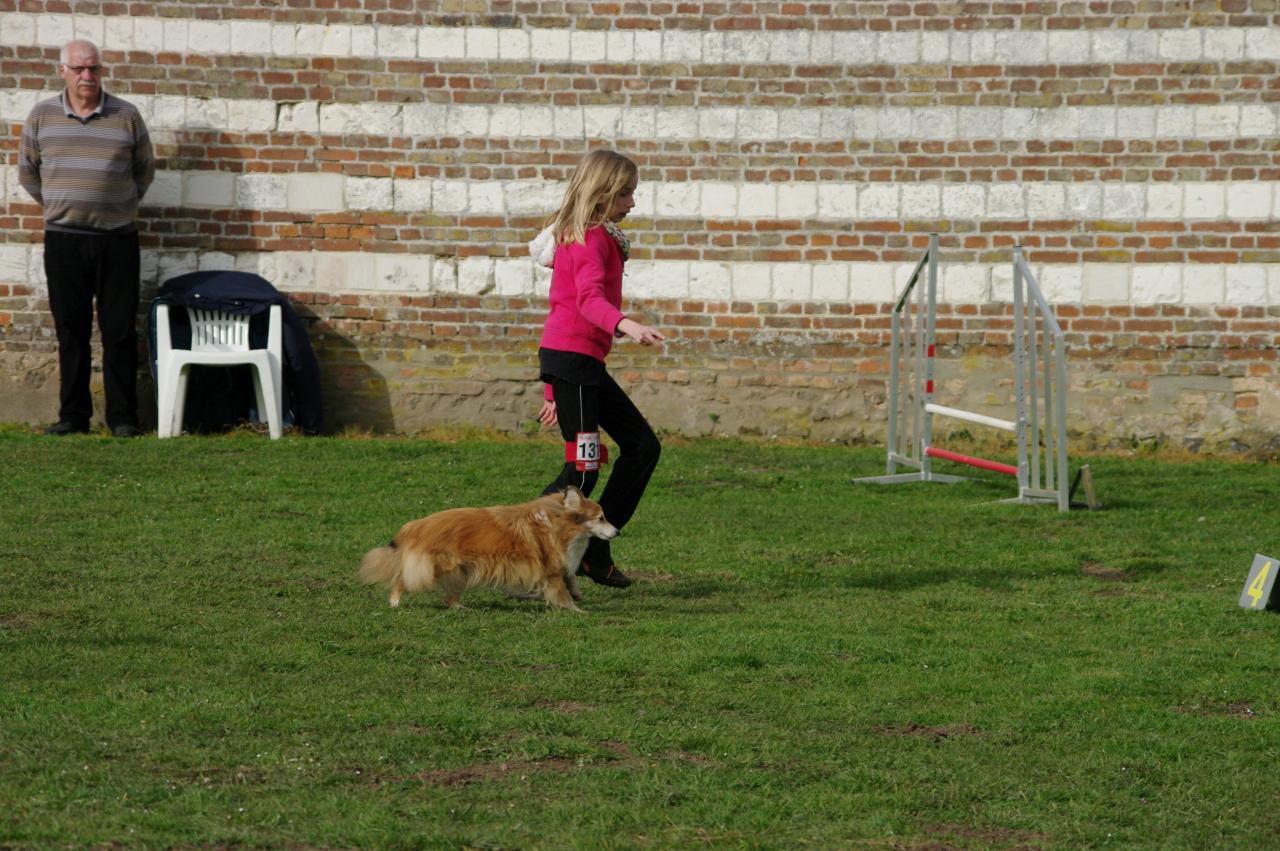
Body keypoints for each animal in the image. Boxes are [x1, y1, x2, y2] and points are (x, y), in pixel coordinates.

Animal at [360, 483, 619, 611]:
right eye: (601, 518)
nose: (618, 532)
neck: (560, 522)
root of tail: (416, 525)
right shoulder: (551, 570)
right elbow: (561, 593)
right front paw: (577, 610)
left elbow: (570, 577)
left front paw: (576, 593)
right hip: (436, 567)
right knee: (404, 579)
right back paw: (395, 601)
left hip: (460, 570)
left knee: (449, 595)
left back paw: (460, 607)